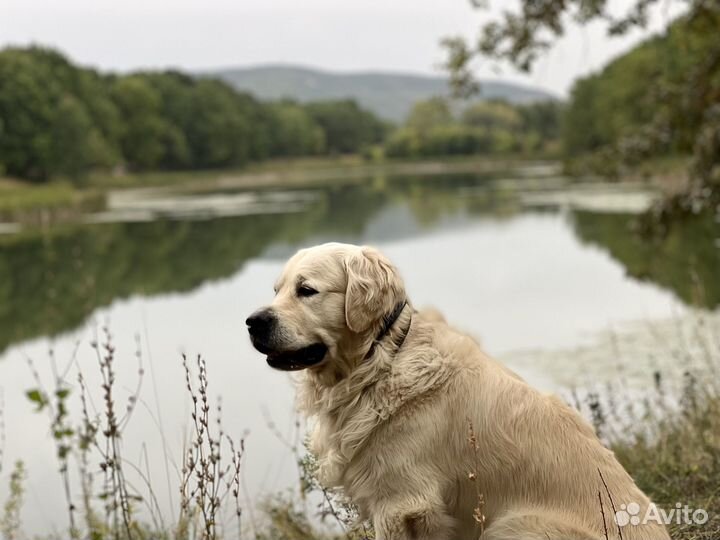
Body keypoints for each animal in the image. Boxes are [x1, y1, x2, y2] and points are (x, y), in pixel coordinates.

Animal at [246, 243, 668, 536]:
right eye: (277, 290)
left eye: (306, 290)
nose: (252, 321)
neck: (380, 361)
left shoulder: (401, 503)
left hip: (513, 524)